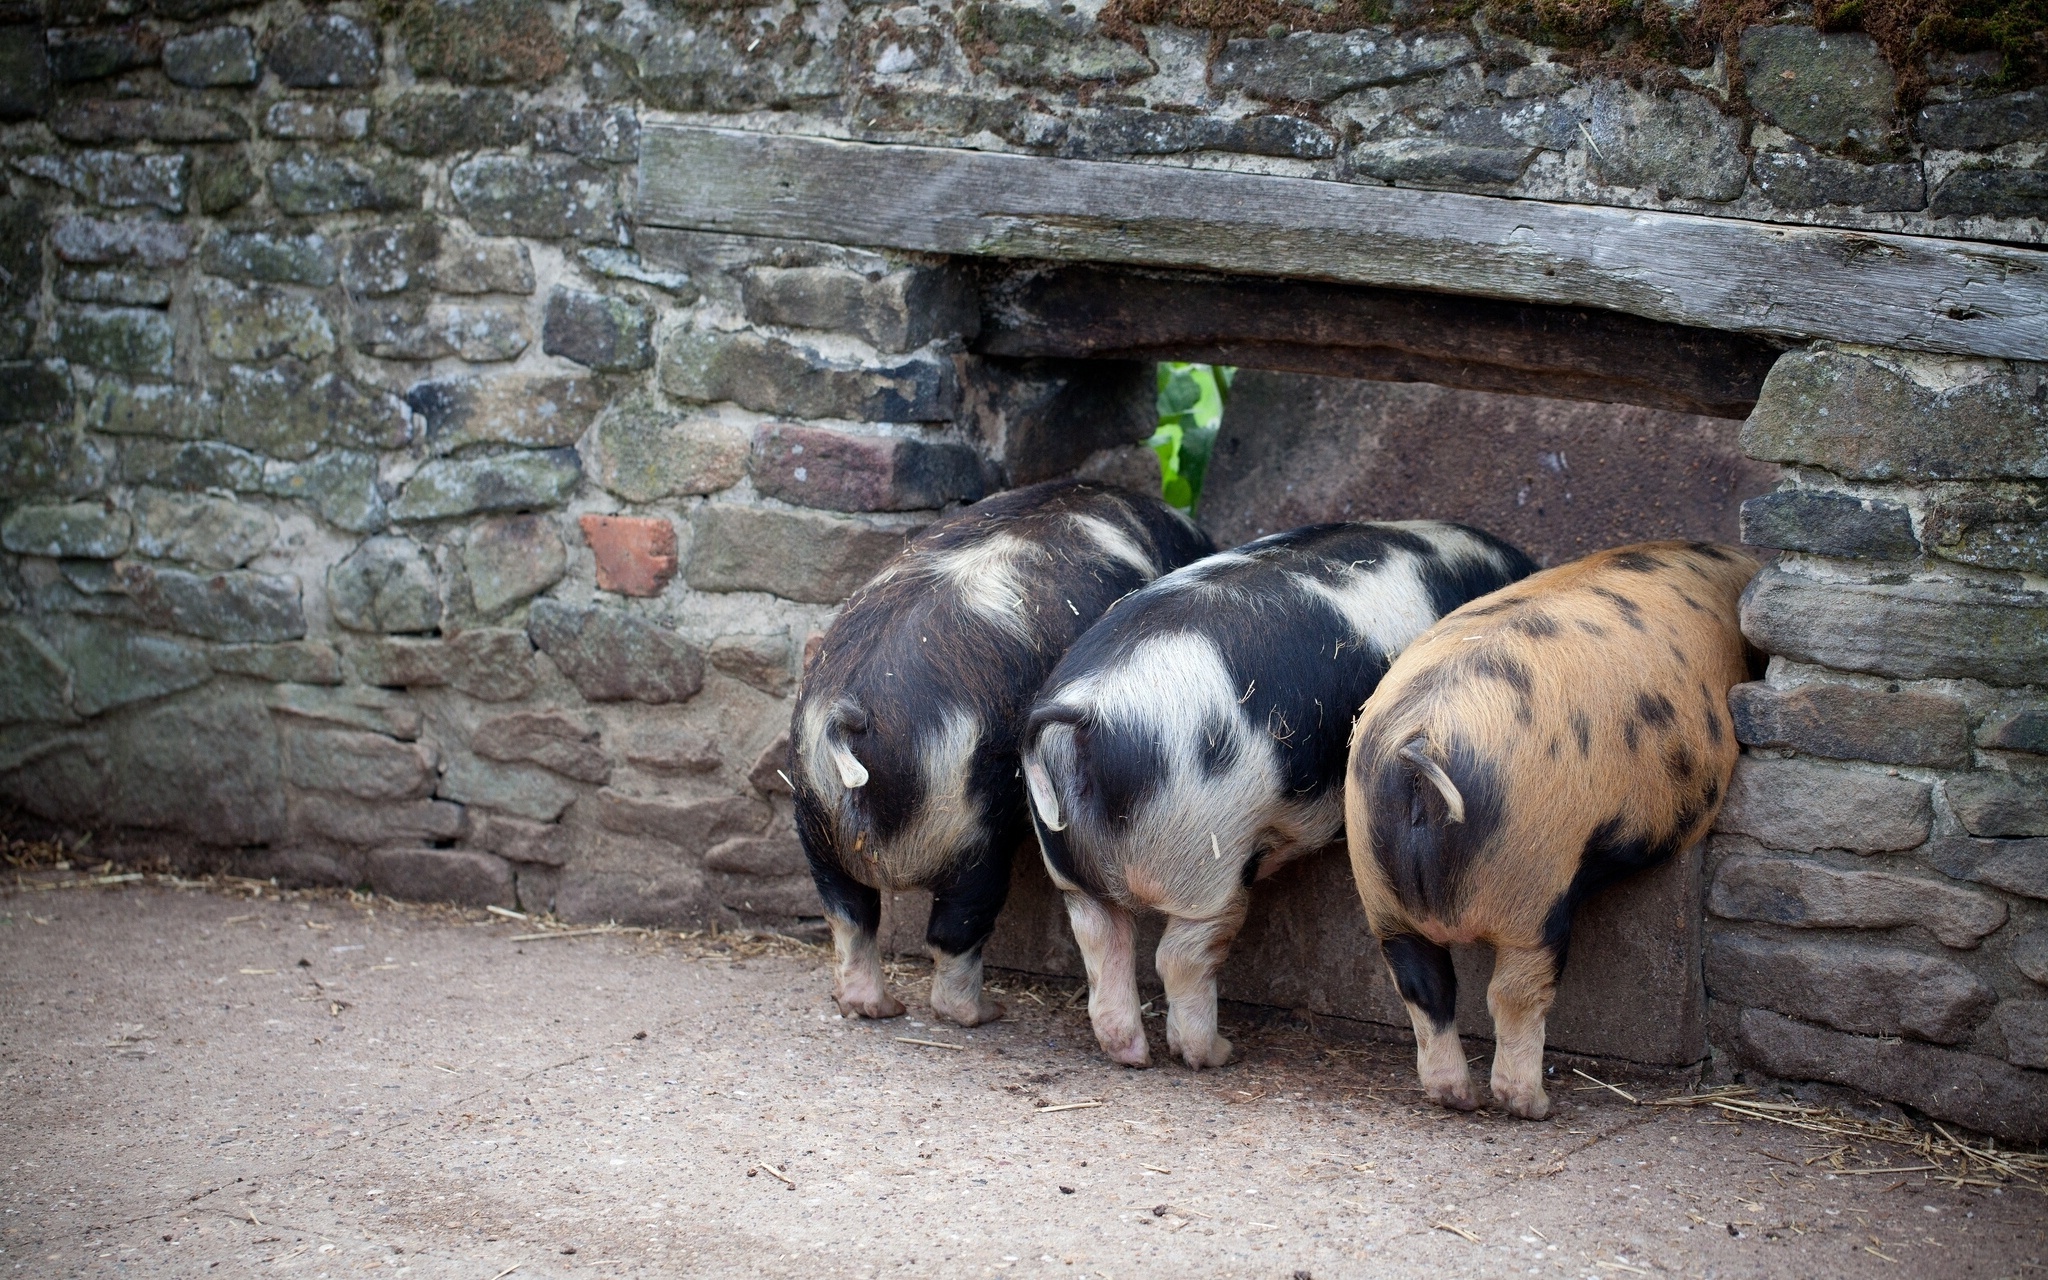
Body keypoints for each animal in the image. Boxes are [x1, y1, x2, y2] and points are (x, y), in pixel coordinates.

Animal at [782, 479, 1204, 1028]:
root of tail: (847, 716)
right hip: (972, 833)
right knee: (954, 929)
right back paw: (983, 1013)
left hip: (814, 821)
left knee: (850, 917)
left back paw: (875, 1007)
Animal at [1015, 520, 1531, 1064]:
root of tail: (1082, 717)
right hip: (1203, 856)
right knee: (1181, 954)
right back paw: (1217, 1054)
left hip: (1072, 867)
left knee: (1099, 939)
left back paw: (1134, 1055)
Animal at [1343, 540, 1761, 1114]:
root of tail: (1423, 741)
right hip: (1534, 881)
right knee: (1513, 992)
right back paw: (1533, 1106)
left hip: (1377, 883)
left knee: (1422, 986)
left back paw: (1458, 1098)